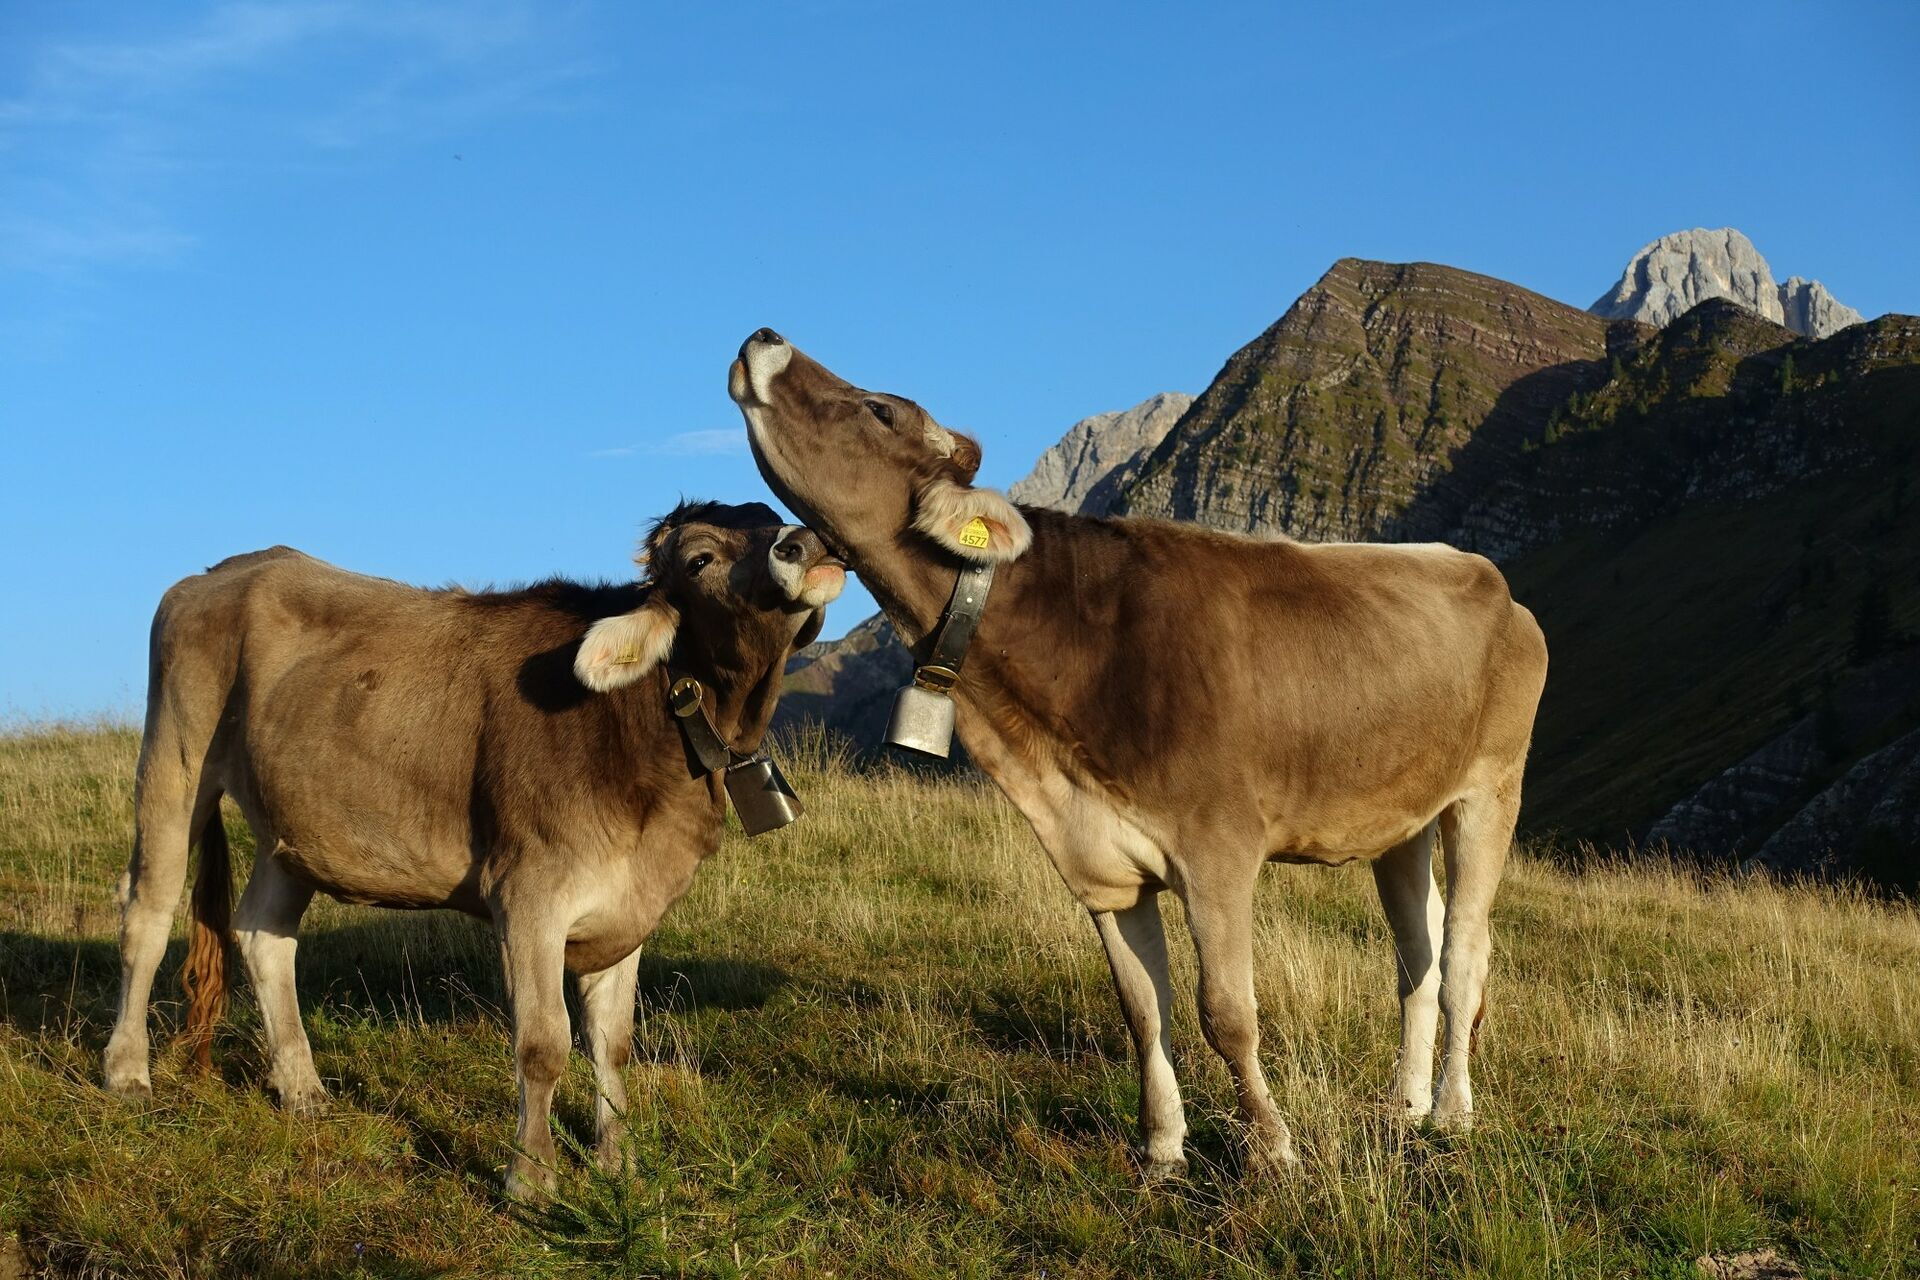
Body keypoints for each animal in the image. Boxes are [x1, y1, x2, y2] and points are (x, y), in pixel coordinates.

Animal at [101, 501, 845, 1196]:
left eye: (771, 516)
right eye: (699, 559)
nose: (808, 543)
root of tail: (228, 569)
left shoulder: (628, 902)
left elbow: (614, 1043)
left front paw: (617, 1163)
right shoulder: (529, 894)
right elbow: (543, 1043)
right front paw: (532, 1179)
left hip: (296, 823)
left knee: (263, 932)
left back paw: (303, 1088)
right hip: (175, 756)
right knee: (147, 912)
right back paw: (128, 1070)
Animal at [729, 329, 1549, 1180]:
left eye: (880, 409)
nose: (764, 337)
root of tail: (1483, 573)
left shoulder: (1219, 849)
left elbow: (1225, 1013)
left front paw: (1272, 1148)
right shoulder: (1102, 864)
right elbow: (1143, 1011)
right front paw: (1161, 1149)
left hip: (1490, 790)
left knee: (1463, 959)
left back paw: (1452, 1113)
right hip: (1400, 817)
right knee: (1419, 959)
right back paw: (1405, 1104)